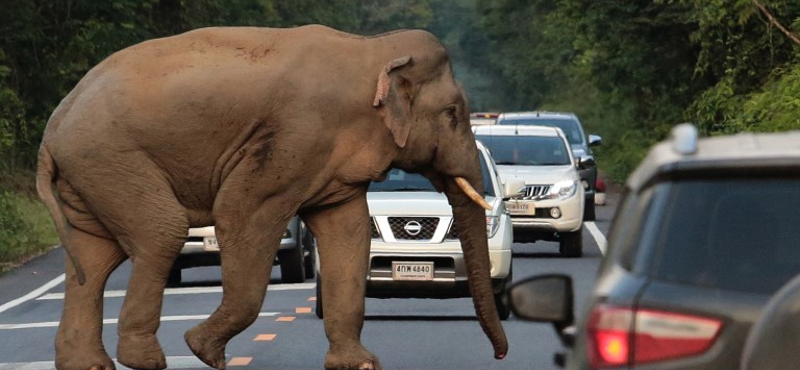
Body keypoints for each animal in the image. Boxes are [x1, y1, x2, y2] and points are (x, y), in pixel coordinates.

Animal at [36, 23, 506, 370]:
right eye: (452, 114)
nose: (501, 354)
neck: (370, 49)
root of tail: (53, 125)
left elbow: (348, 231)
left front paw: (360, 365)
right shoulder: (293, 138)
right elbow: (241, 212)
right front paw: (204, 351)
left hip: (93, 171)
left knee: (94, 255)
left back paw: (89, 364)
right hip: (108, 155)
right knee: (160, 231)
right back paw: (146, 360)